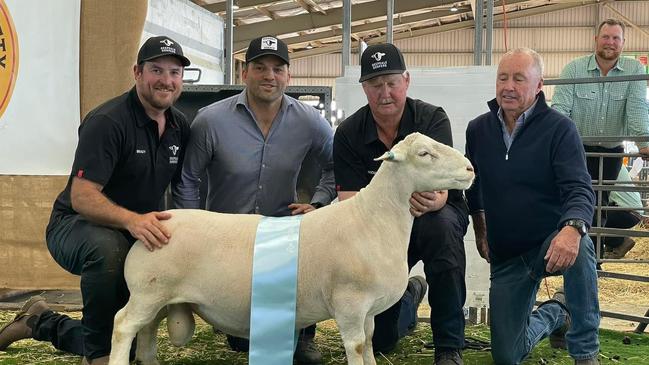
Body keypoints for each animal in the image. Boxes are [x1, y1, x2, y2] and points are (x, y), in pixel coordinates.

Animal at [105, 132, 470, 364]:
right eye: (424, 154)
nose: (469, 169)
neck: (371, 220)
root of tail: (153, 222)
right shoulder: (350, 305)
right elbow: (356, 347)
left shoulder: (367, 313)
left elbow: (368, 346)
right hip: (148, 292)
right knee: (123, 325)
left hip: (160, 300)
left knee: (146, 336)